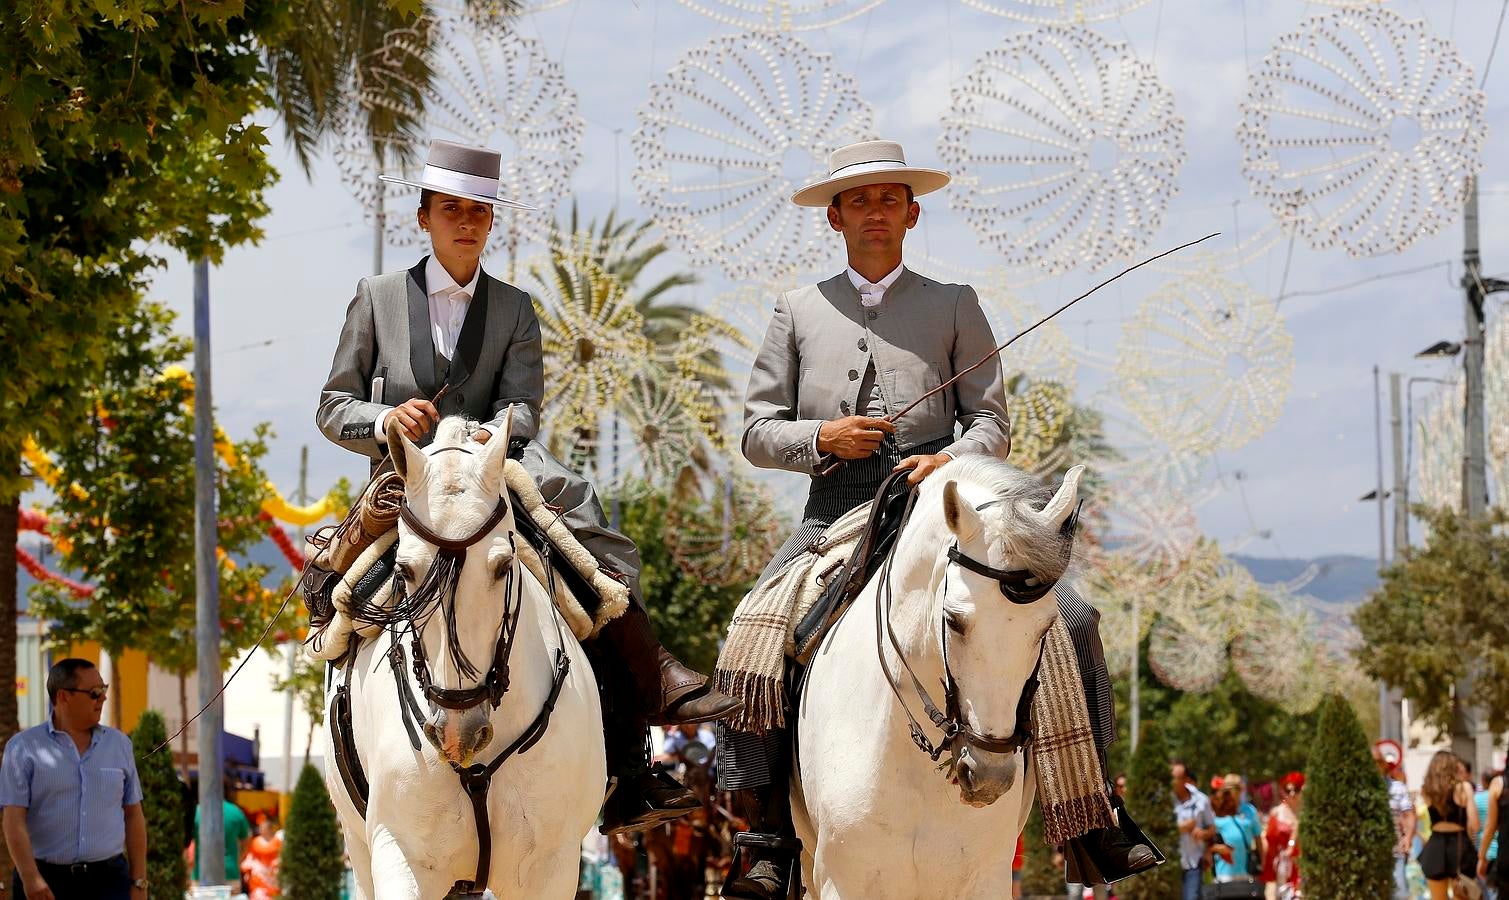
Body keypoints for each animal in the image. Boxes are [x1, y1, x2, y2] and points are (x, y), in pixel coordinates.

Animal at [324, 416, 606, 900]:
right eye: (403, 570)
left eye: (504, 565)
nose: (459, 733)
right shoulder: (401, 853)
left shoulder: (551, 867)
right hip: (358, 847)